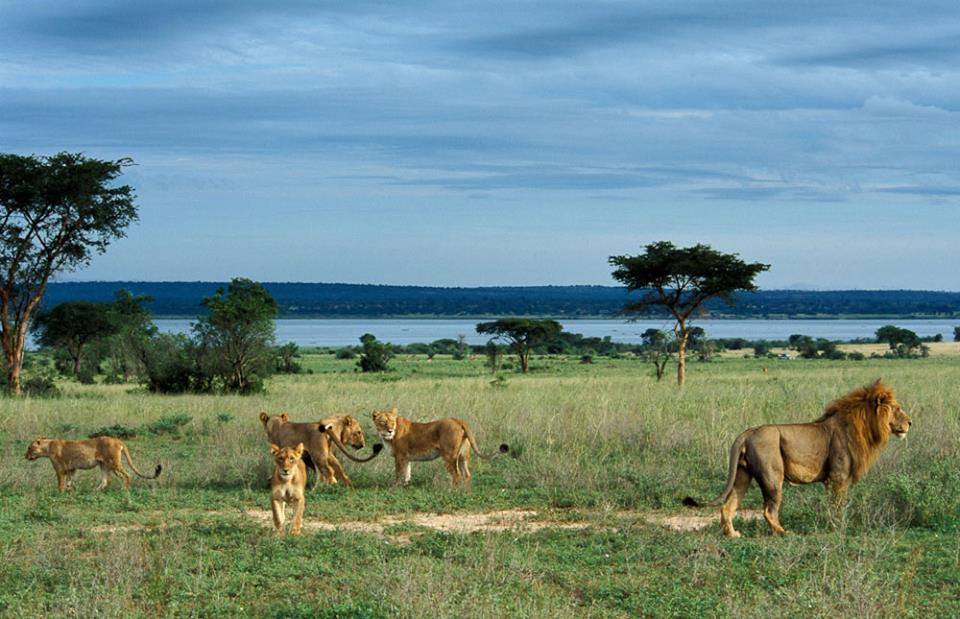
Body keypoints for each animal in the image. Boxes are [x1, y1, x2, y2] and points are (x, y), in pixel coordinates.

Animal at [688, 380, 912, 536]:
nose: (910, 422)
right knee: (768, 510)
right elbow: (838, 505)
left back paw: (733, 534)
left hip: (742, 475)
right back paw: (784, 533)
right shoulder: (838, 476)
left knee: (728, 506)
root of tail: (748, 432)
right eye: (897, 408)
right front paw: (839, 526)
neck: (863, 426)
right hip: (772, 477)